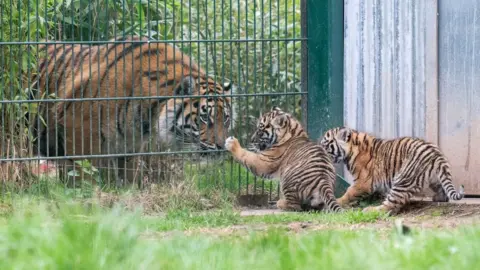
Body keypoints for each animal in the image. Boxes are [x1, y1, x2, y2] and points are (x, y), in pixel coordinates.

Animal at [29, 36, 232, 188]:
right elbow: (83, 169)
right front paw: (84, 193)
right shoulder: (79, 127)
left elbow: (128, 173)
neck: (149, 114)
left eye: (226, 120)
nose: (222, 147)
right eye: (205, 118)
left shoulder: (130, 143)